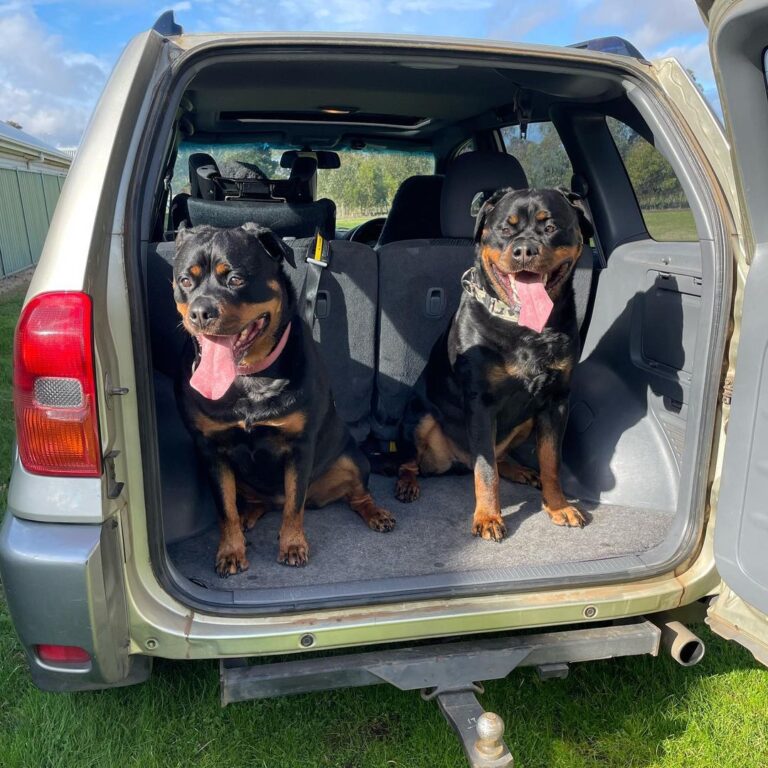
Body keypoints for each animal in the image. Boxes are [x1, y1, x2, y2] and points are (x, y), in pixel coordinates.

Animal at [171, 222, 392, 576]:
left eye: (236, 279)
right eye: (185, 281)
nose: (201, 313)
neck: (249, 378)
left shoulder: (300, 445)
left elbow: (294, 503)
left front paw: (292, 544)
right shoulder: (211, 450)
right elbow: (225, 508)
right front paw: (231, 550)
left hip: (352, 459)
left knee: (356, 493)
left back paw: (376, 513)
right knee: (251, 502)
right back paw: (248, 517)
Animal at [396, 187, 592, 540]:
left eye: (551, 227)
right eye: (505, 228)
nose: (525, 250)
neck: (523, 327)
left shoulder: (556, 400)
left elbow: (551, 460)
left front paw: (558, 507)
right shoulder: (480, 402)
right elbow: (486, 470)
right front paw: (488, 517)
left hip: (526, 420)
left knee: (500, 457)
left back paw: (520, 470)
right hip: (419, 416)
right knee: (411, 461)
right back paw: (407, 483)